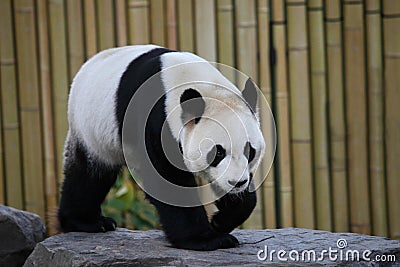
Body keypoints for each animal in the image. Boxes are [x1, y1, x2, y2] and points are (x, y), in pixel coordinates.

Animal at [57, 45, 266, 252]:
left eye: (250, 151)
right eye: (218, 152)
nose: (237, 182)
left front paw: (222, 220)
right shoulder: (154, 122)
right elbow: (167, 181)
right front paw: (207, 240)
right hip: (91, 130)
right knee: (88, 175)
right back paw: (86, 222)